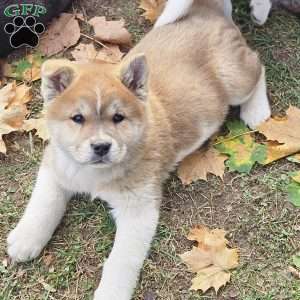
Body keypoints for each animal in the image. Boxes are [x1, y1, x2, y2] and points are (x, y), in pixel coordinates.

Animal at [7, 1, 270, 298]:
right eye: (78, 118)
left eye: (118, 118)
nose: (101, 146)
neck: (93, 175)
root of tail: (205, 9)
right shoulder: (56, 167)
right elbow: (43, 203)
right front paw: (26, 238)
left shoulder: (139, 210)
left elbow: (121, 261)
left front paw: (111, 292)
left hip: (235, 81)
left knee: (258, 65)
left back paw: (257, 110)